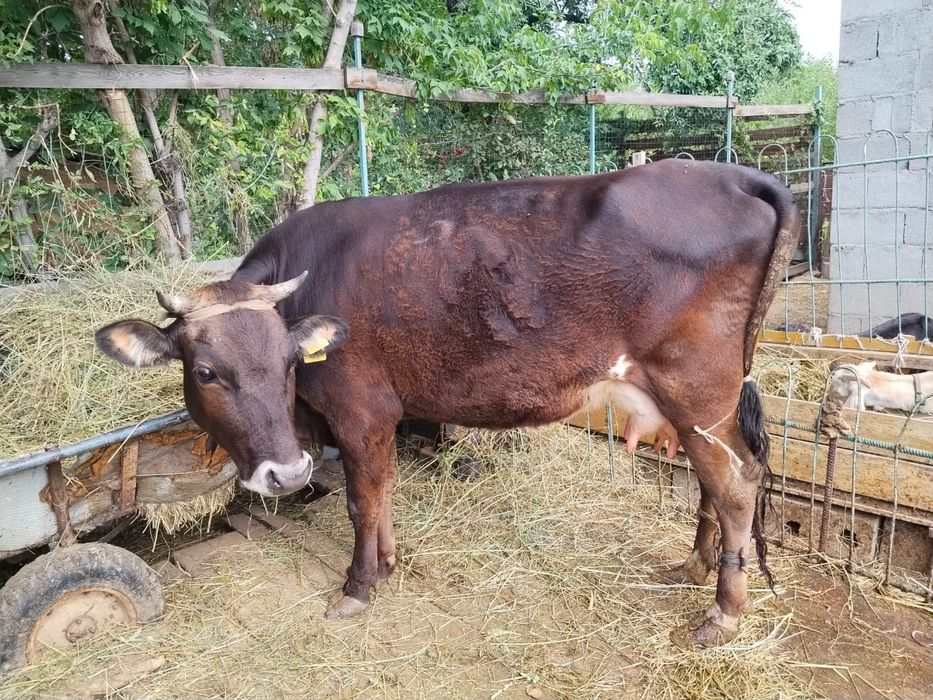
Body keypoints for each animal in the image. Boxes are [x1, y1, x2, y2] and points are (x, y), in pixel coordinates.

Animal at [95, 160, 799, 646]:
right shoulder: (374, 419)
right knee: (714, 483)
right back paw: (697, 564)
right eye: (207, 371)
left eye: (288, 361)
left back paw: (723, 614)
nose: (286, 473)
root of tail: (734, 175)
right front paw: (388, 563)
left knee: (737, 485)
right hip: (699, 404)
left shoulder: (358, 412)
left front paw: (358, 585)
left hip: (696, 390)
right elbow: (382, 492)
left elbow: (361, 501)